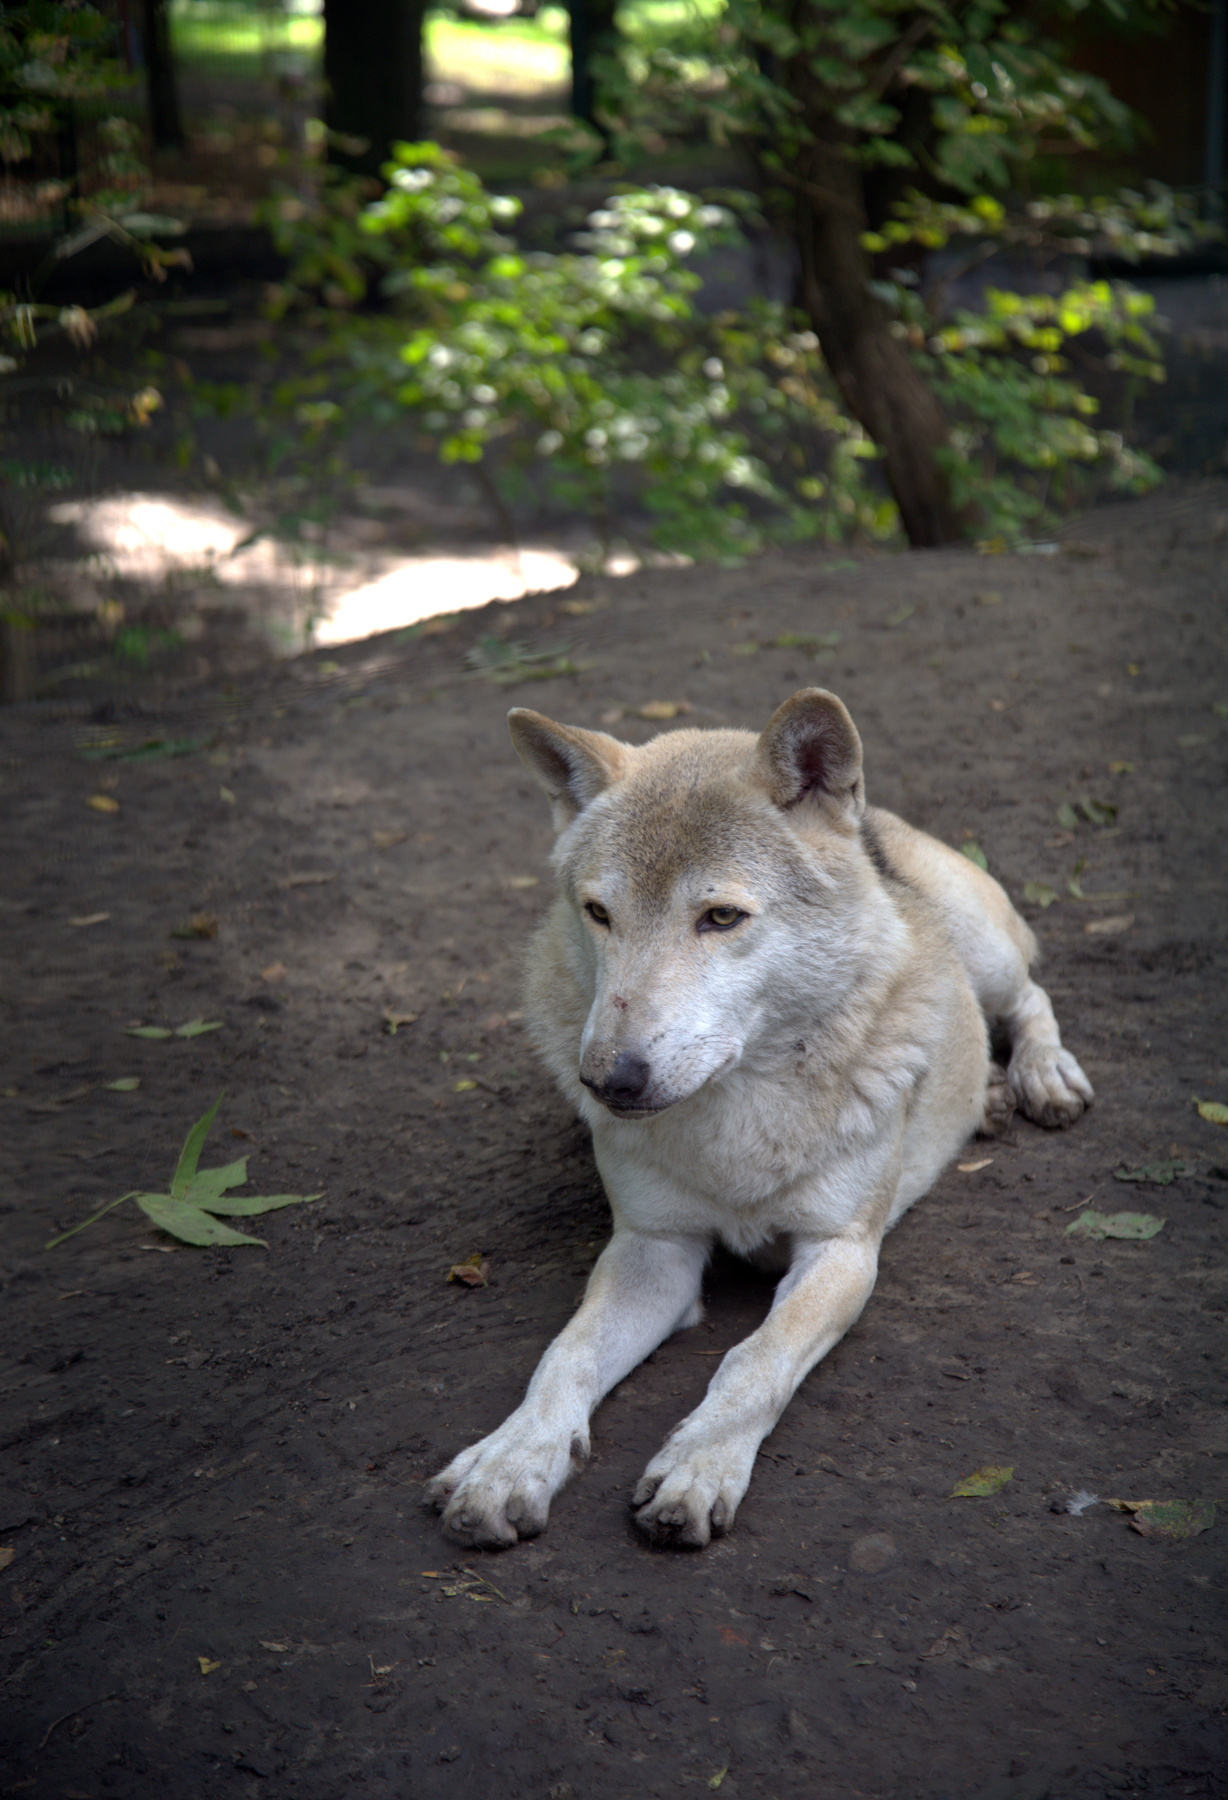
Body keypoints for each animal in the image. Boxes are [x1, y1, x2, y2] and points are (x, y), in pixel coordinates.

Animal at [426, 688, 1093, 1549]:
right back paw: (991, 1095)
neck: (736, 1117)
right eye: (599, 912)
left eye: (721, 917)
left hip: (985, 953)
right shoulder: (653, 1248)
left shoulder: (842, 1253)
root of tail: (875, 822)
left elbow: (753, 1361)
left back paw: (1041, 1077)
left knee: (1030, 998)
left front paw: (698, 1467)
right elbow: (563, 1357)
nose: (608, 1080)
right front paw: (508, 1464)